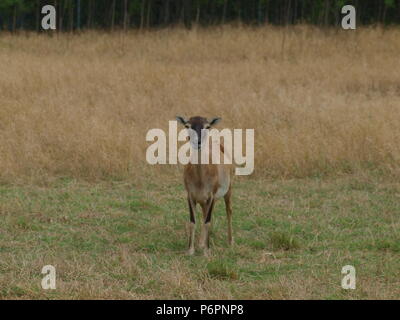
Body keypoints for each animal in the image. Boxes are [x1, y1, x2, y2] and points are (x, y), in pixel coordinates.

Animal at [177, 115, 233, 255]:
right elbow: (193, 221)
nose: (197, 142)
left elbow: (208, 221)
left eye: (207, 126)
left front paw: (207, 252)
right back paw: (201, 243)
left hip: (228, 191)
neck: (200, 179)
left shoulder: (212, 196)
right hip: (203, 201)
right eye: (187, 125)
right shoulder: (190, 196)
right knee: (204, 213)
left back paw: (230, 241)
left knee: (228, 211)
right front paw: (191, 250)